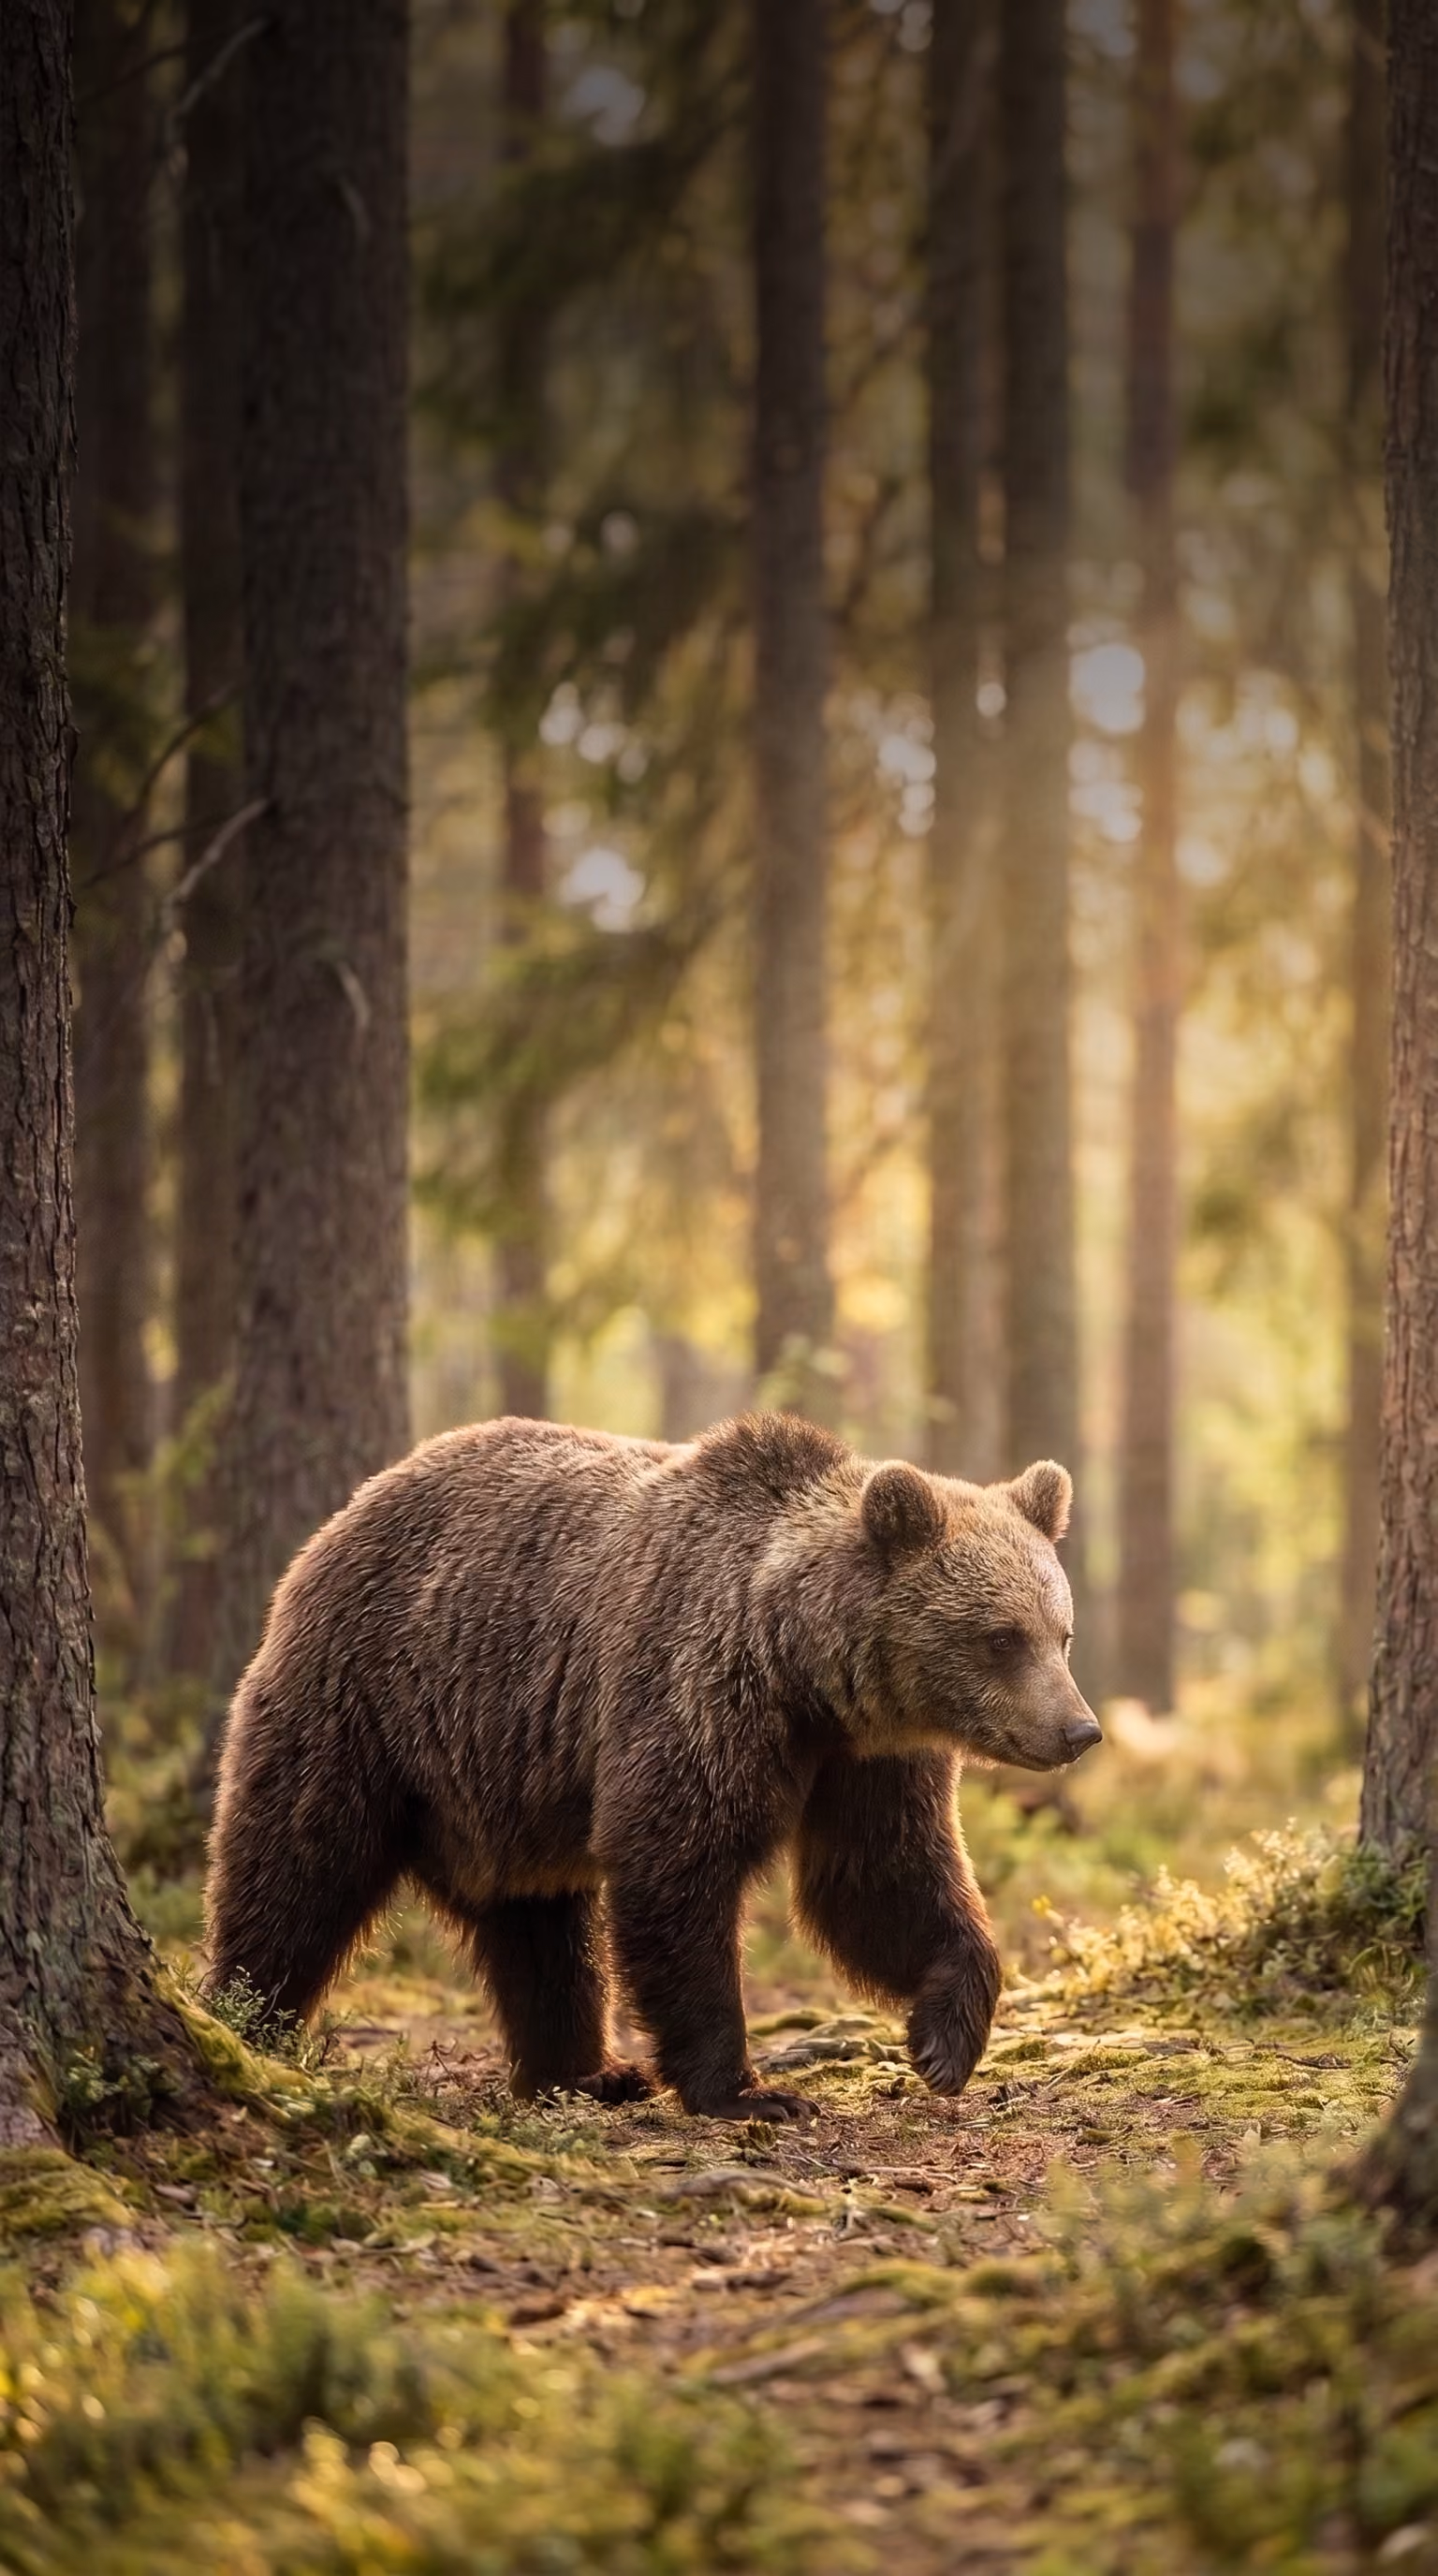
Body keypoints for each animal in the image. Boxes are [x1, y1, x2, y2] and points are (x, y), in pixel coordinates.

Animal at [205, 1412, 1101, 2120]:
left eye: (1060, 1633)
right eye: (1001, 1637)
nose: (1078, 1730)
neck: (805, 1673)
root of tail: (353, 1509)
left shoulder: (869, 1758)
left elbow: (883, 1880)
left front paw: (943, 2041)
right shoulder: (695, 1689)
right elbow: (676, 1864)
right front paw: (749, 2090)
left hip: (503, 1782)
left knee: (540, 1928)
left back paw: (586, 2074)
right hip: (367, 1699)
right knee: (296, 1866)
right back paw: (246, 2019)